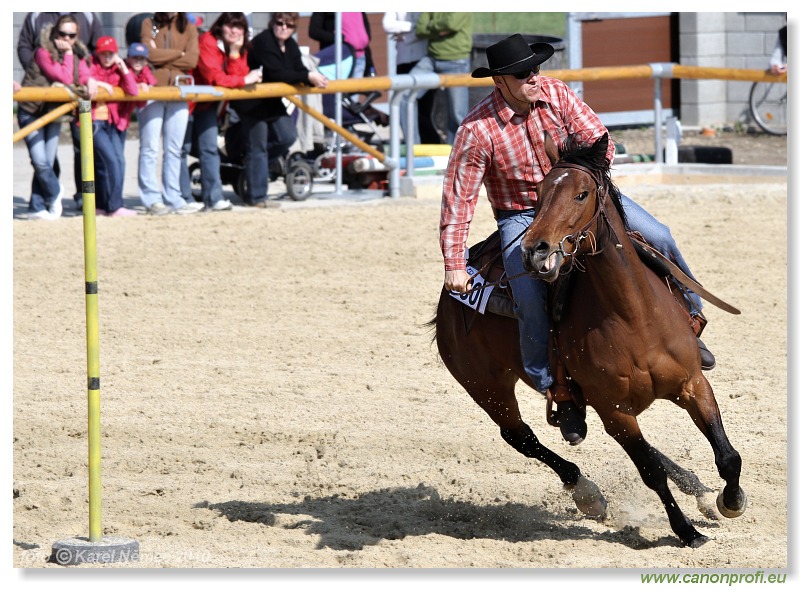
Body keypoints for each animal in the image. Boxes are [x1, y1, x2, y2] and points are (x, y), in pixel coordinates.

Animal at [434, 132, 748, 548]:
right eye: (540, 191)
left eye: (581, 194)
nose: (534, 249)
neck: (634, 316)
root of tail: (451, 292)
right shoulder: (615, 410)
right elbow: (650, 472)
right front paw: (686, 532)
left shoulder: (693, 385)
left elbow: (726, 455)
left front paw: (730, 501)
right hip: (486, 386)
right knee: (521, 437)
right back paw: (587, 494)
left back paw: (695, 487)